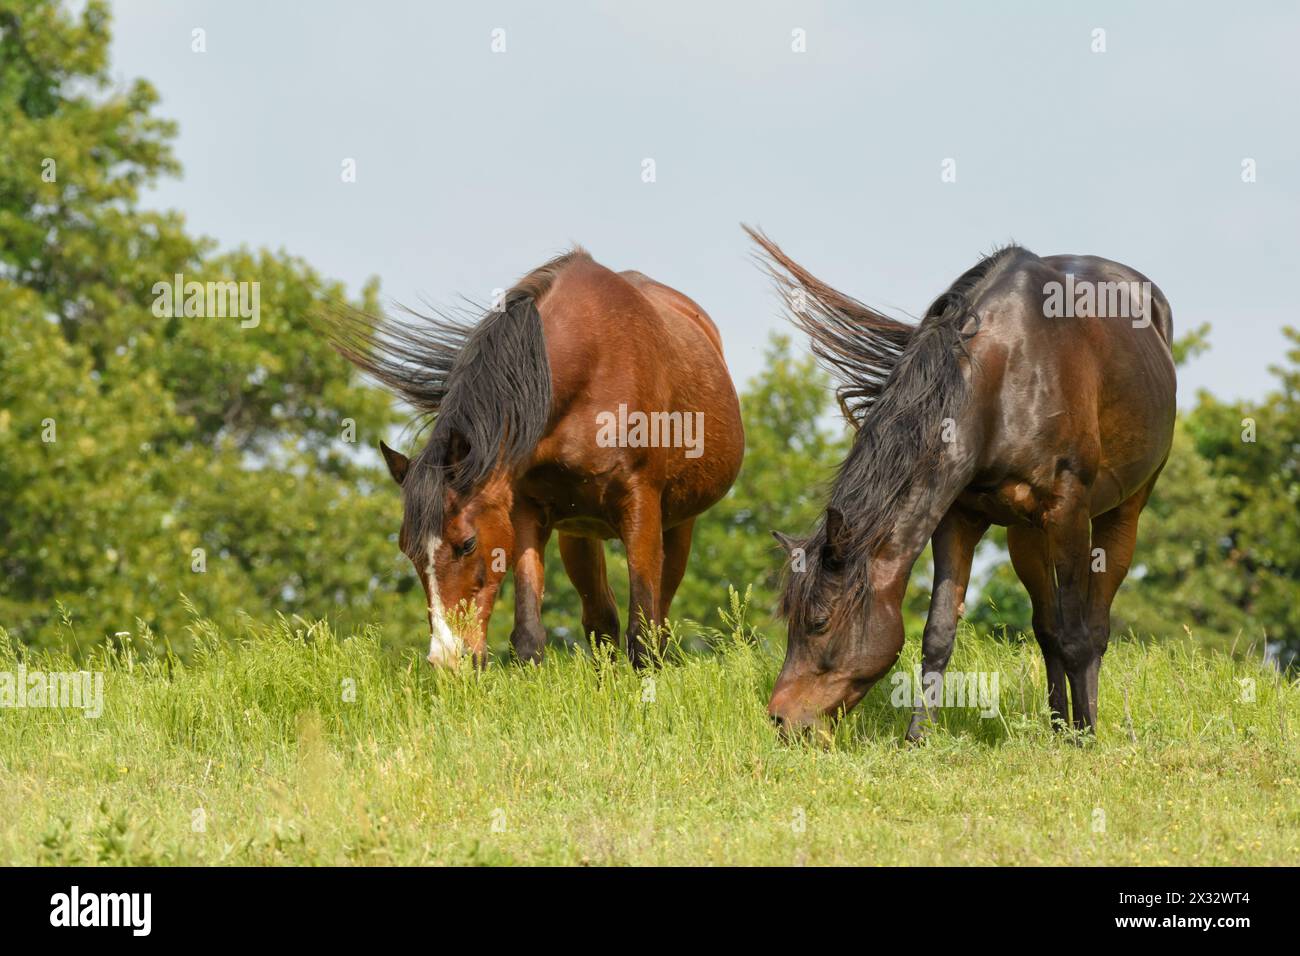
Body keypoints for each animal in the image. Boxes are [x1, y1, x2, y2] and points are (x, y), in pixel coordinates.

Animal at [330, 248, 748, 665]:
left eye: (466, 543)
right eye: (408, 549)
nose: (447, 660)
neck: (590, 367)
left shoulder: (641, 506)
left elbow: (643, 636)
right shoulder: (525, 512)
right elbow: (530, 635)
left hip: (677, 526)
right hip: (580, 533)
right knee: (601, 621)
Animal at [754, 227, 1180, 738]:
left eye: (818, 623)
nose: (779, 719)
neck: (1005, 377)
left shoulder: (1069, 512)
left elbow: (1078, 638)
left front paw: (1087, 736)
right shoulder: (957, 516)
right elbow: (939, 634)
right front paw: (917, 738)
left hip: (1123, 510)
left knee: (1093, 627)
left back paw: (1080, 726)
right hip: (1025, 535)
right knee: (1047, 628)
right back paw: (1058, 725)